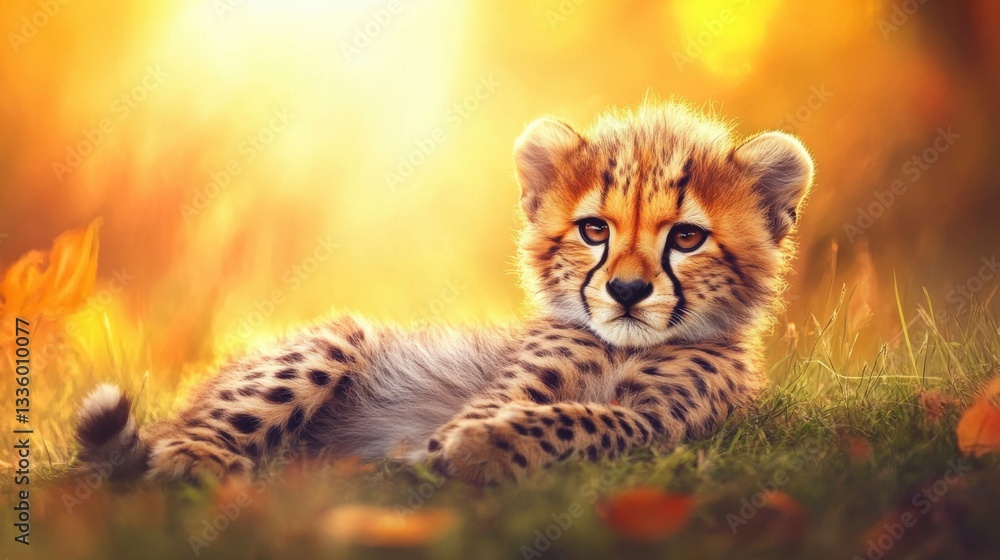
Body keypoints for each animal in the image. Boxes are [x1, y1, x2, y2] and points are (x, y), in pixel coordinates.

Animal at [75, 101, 814, 485]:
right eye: (594, 230)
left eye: (686, 238)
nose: (628, 291)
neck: (623, 347)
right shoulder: (508, 389)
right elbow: (530, 414)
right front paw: (464, 449)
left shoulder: (665, 428)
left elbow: (595, 420)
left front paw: (483, 449)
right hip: (335, 340)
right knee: (176, 445)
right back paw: (202, 463)